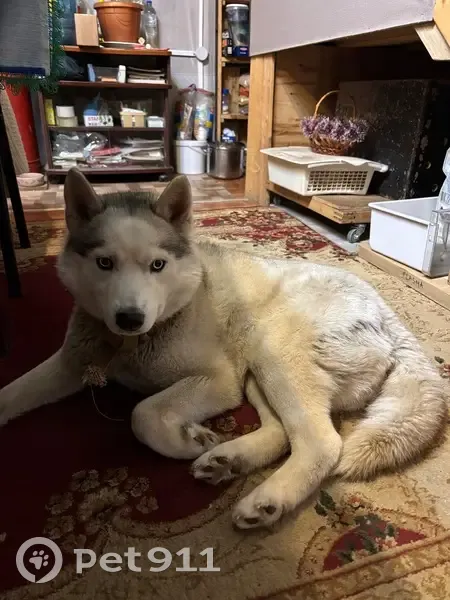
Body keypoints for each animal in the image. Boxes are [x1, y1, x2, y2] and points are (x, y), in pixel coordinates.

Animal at [0, 168, 447, 529]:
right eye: (104, 263)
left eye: (158, 266)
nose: (129, 318)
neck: (137, 343)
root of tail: (391, 317)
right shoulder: (73, 360)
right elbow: (11, 393)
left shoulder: (218, 379)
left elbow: (142, 414)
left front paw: (186, 441)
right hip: (257, 370)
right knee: (282, 432)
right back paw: (230, 460)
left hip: (273, 353)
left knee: (322, 442)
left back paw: (268, 499)